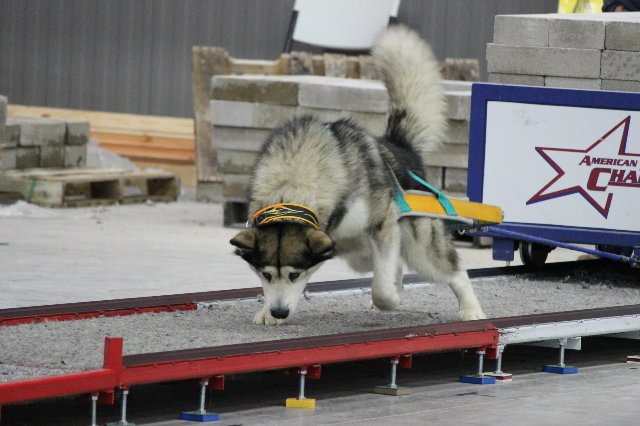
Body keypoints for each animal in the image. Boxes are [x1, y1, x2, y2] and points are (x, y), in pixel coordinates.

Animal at [232, 25, 488, 324]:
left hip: (420, 250)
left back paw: (471, 309)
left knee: (450, 270)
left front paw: (389, 300)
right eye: (265, 274)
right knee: (391, 263)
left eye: (295, 274)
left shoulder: (384, 224)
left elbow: (382, 287)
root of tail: (398, 146)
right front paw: (266, 312)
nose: (279, 311)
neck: (293, 180)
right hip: (360, 254)